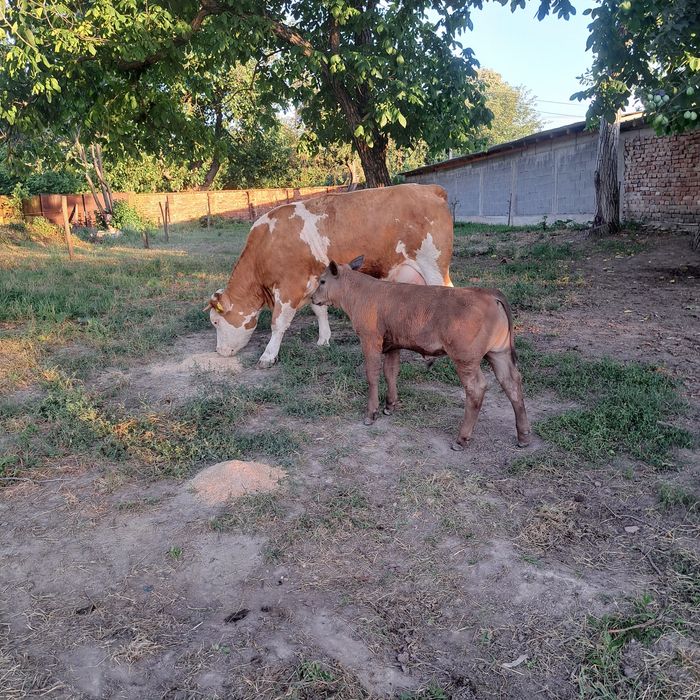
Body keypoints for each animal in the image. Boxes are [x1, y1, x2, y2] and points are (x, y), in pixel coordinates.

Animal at [204, 184, 454, 368]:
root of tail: (430, 188)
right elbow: (319, 310)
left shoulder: (289, 287)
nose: (219, 351)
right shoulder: (314, 282)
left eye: (215, 321)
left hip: (433, 265)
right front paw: (324, 339)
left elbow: (279, 323)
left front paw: (268, 356)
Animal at [310, 257, 531, 451]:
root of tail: (489, 293)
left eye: (322, 281)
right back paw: (523, 436)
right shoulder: (394, 344)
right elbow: (390, 372)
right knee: (512, 383)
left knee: (476, 389)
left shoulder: (370, 339)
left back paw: (461, 439)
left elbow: (372, 375)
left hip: (465, 359)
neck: (360, 292)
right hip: (499, 353)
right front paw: (390, 405)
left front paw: (371, 414)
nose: (313, 298)